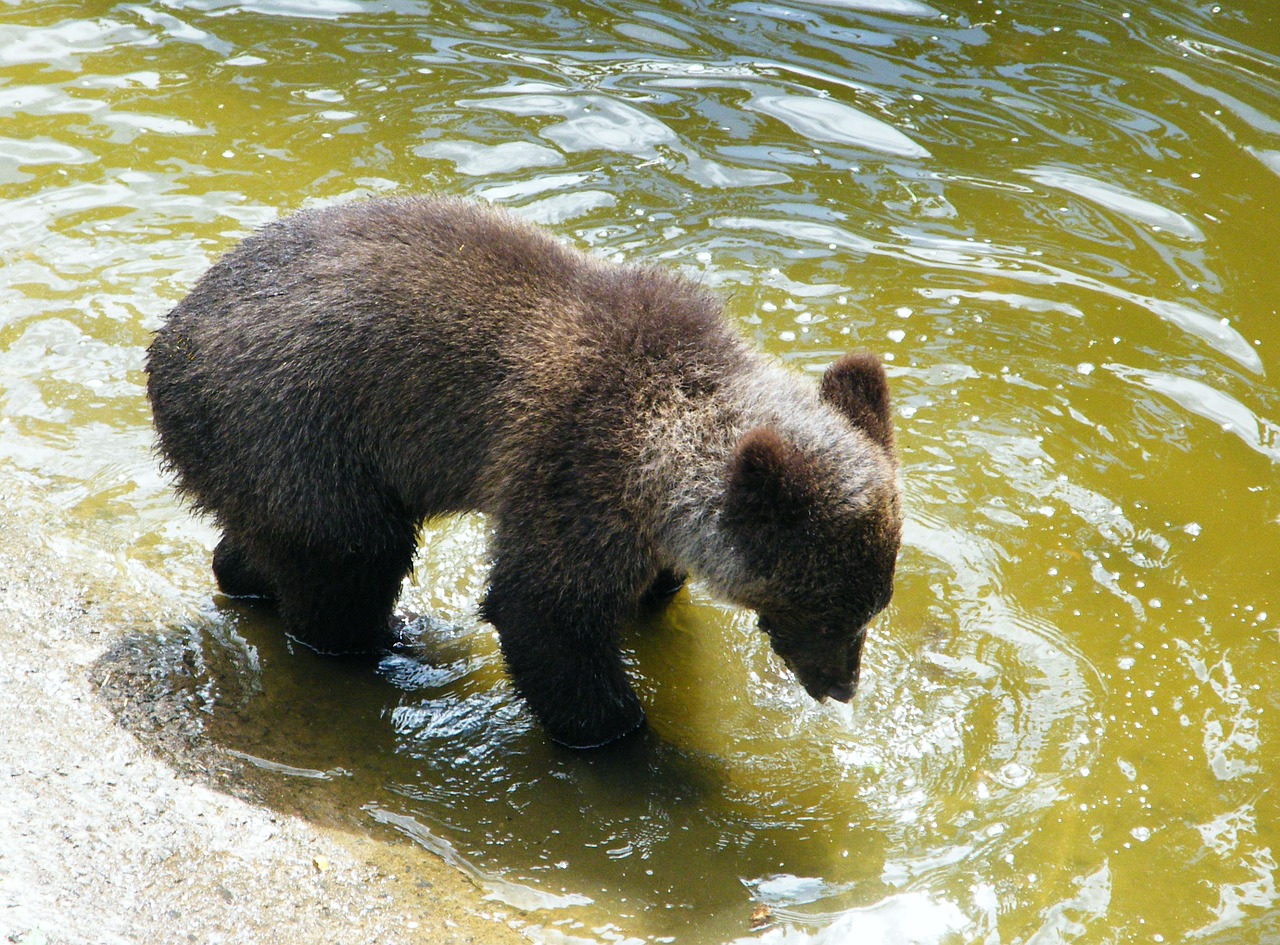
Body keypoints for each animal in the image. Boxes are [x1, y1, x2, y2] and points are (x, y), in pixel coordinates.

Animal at [147, 194, 901, 747]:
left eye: (872, 604)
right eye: (830, 609)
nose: (841, 684)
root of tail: (167, 338)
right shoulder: (571, 465)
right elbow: (542, 615)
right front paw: (628, 738)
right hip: (300, 430)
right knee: (349, 569)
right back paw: (394, 640)